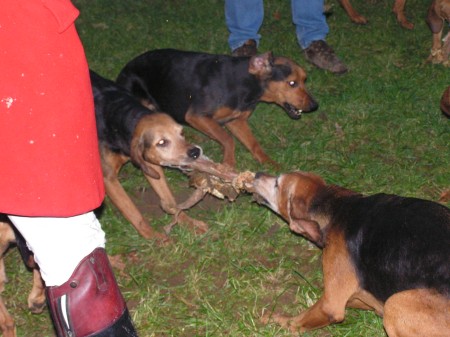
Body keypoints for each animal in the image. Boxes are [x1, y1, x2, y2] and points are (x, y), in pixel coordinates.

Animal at [250, 172, 450, 334]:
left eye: (277, 183)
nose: (257, 174)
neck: (336, 207)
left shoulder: (330, 305)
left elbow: (296, 321)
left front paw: (274, 319)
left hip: (396, 303)